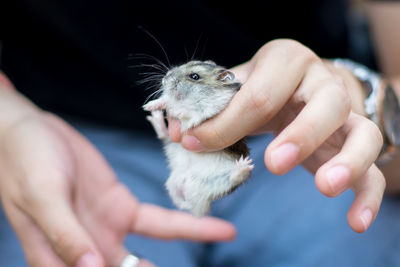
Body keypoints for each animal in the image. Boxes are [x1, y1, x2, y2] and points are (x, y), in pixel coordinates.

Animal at [143, 60, 253, 218]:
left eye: (194, 76)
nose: (164, 79)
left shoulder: (208, 110)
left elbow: (190, 112)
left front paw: (177, 111)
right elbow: (167, 100)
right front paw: (149, 106)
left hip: (217, 185)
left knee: (233, 178)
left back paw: (243, 167)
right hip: (174, 149)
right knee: (165, 136)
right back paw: (156, 117)